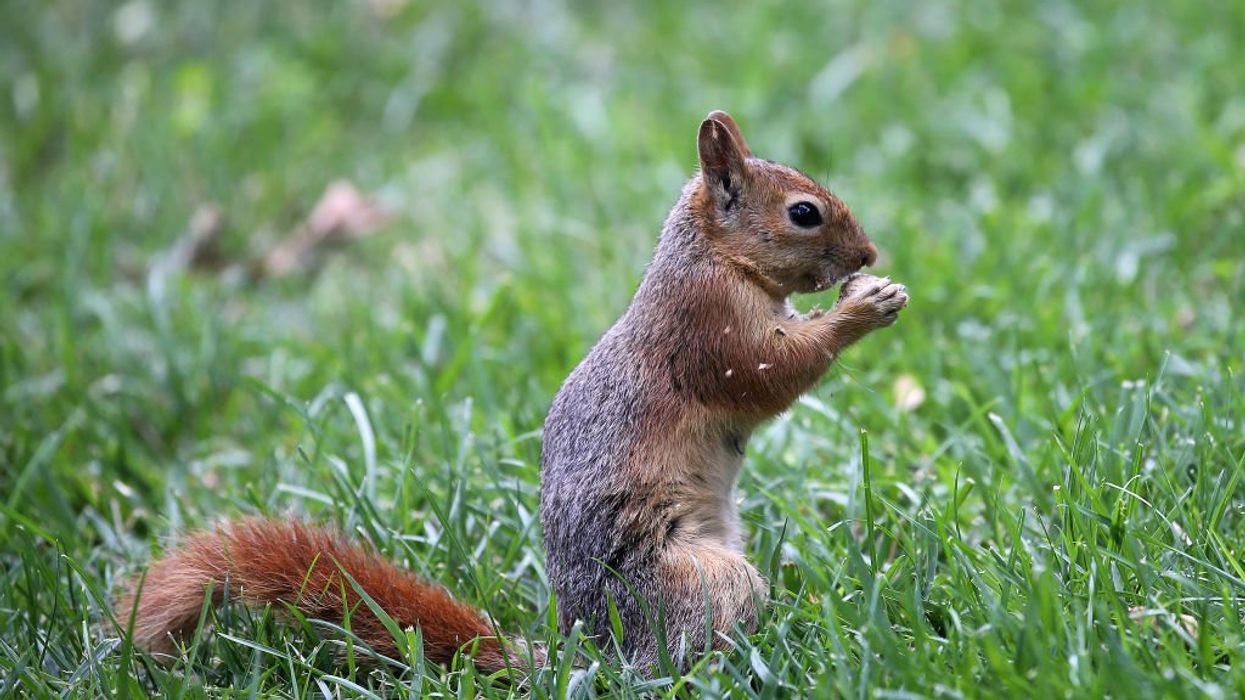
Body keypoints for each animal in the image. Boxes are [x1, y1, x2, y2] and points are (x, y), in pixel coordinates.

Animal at [115, 110, 907, 675]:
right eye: (803, 212)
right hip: (697, 579)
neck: (712, 256)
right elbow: (770, 371)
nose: (869, 253)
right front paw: (863, 308)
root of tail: (593, 655)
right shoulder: (707, 327)